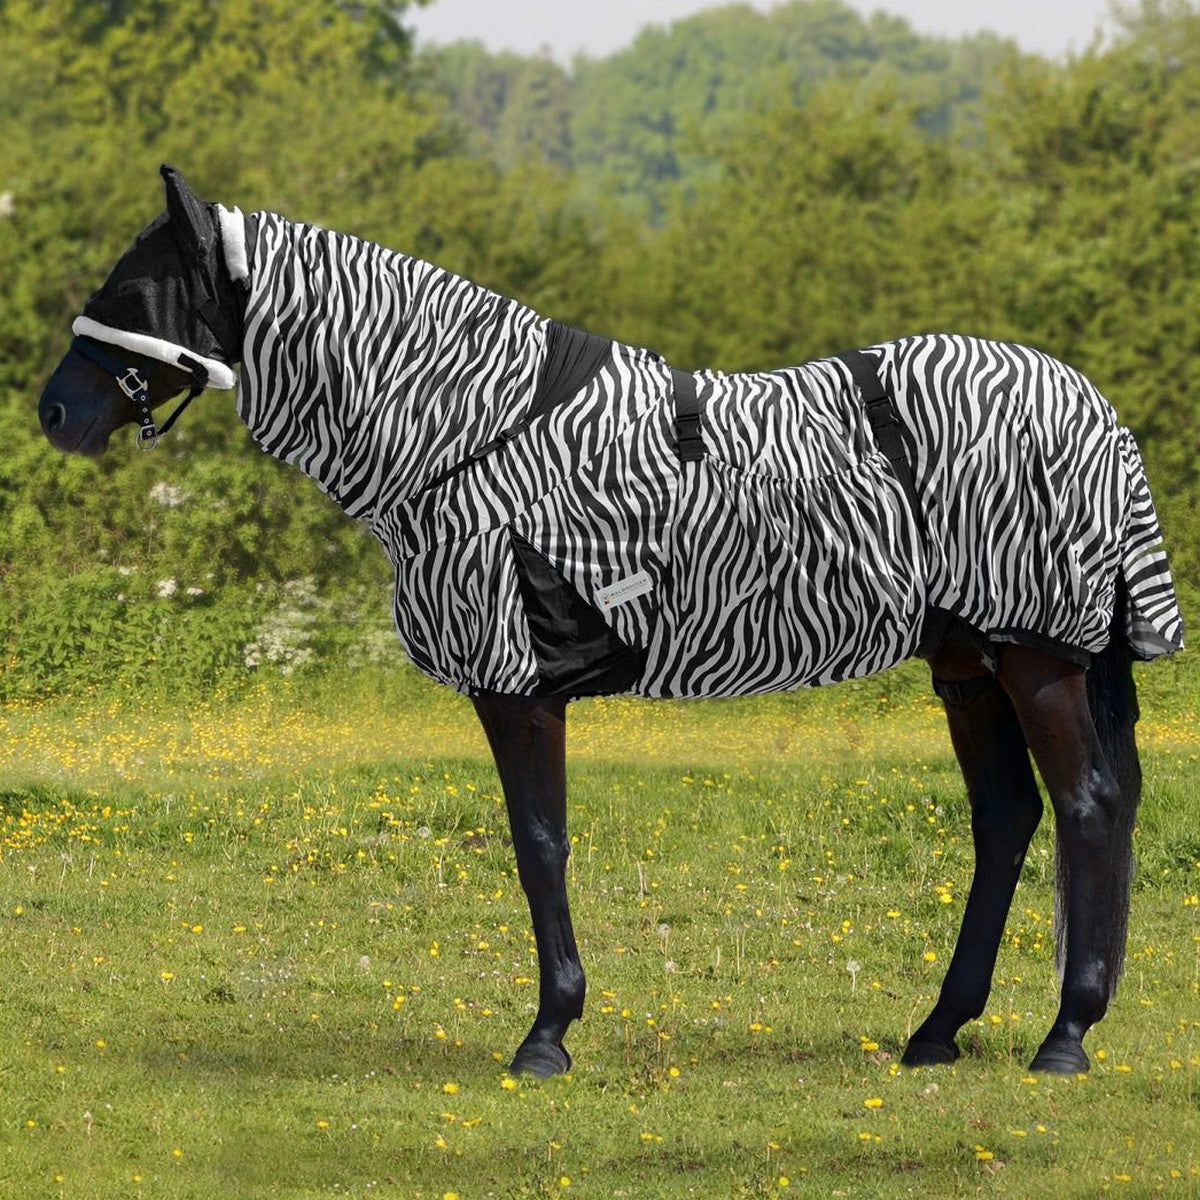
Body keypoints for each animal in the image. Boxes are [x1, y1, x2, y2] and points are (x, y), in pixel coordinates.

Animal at [40, 166, 1183, 1079]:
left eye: (133, 291)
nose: (55, 412)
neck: (466, 432)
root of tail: (1093, 409)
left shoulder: (517, 683)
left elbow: (539, 842)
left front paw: (547, 1035)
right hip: (968, 661)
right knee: (1009, 817)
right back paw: (939, 1031)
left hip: (1036, 656)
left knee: (1087, 807)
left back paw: (1065, 1038)